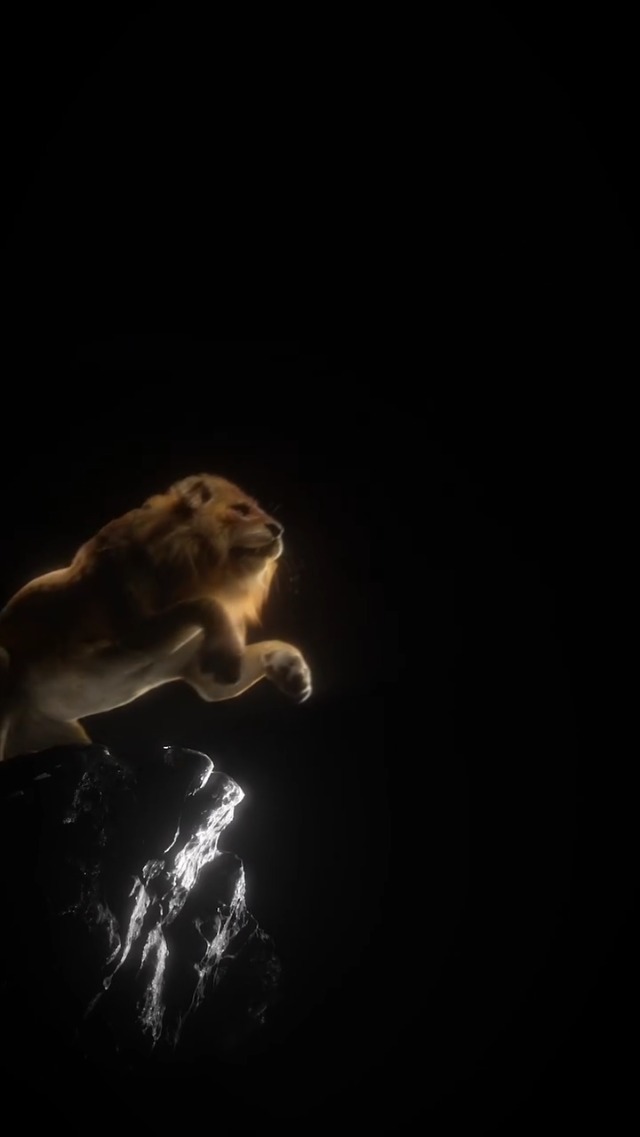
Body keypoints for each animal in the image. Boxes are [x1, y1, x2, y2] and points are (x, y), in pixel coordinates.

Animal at [0, 474, 312, 762]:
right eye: (241, 510)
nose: (278, 529)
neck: (202, 571)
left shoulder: (197, 674)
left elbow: (274, 645)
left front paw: (293, 673)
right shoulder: (125, 643)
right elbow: (205, 604)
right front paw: (227, 660)